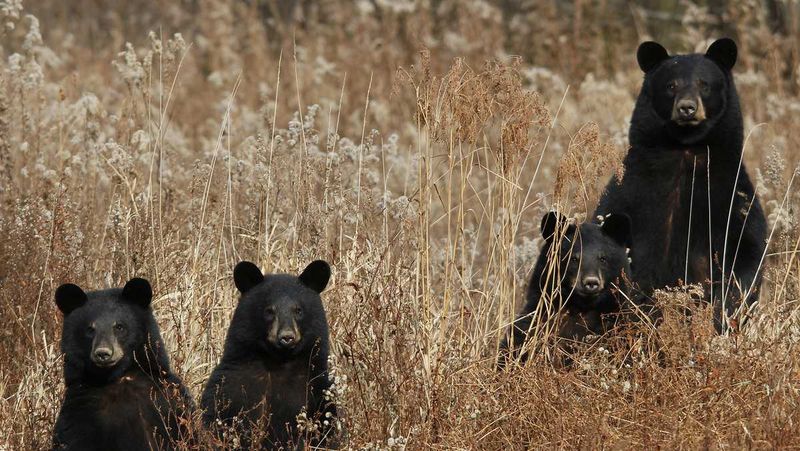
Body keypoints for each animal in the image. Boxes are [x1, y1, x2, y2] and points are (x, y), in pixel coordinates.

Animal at [52, 278, 195, 451]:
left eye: (119, 326)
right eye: (90, 329)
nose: (103, 353)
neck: (120, 378)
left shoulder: (168, 401)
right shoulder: (81, 413)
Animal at [202, 260, 340, 450]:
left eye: (298, 310)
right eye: (269, 311)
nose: (287, 337)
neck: (279, 362)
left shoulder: (318, 389)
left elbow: (326, 429)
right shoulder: (229, 386)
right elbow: (216, 417)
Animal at [500, 211, 636, 364]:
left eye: (603, 258)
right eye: (574, 258)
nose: (591, 282)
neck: (580, 308)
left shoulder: (615, 325)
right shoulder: (535, 322)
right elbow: (516, 344)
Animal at [596, 38, 764, 332]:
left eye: (704, 84)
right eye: (671, 85)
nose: (687, 107)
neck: (686, 151)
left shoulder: (730, 194)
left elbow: (746, 248)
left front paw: (723, 311)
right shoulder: (630, 191)